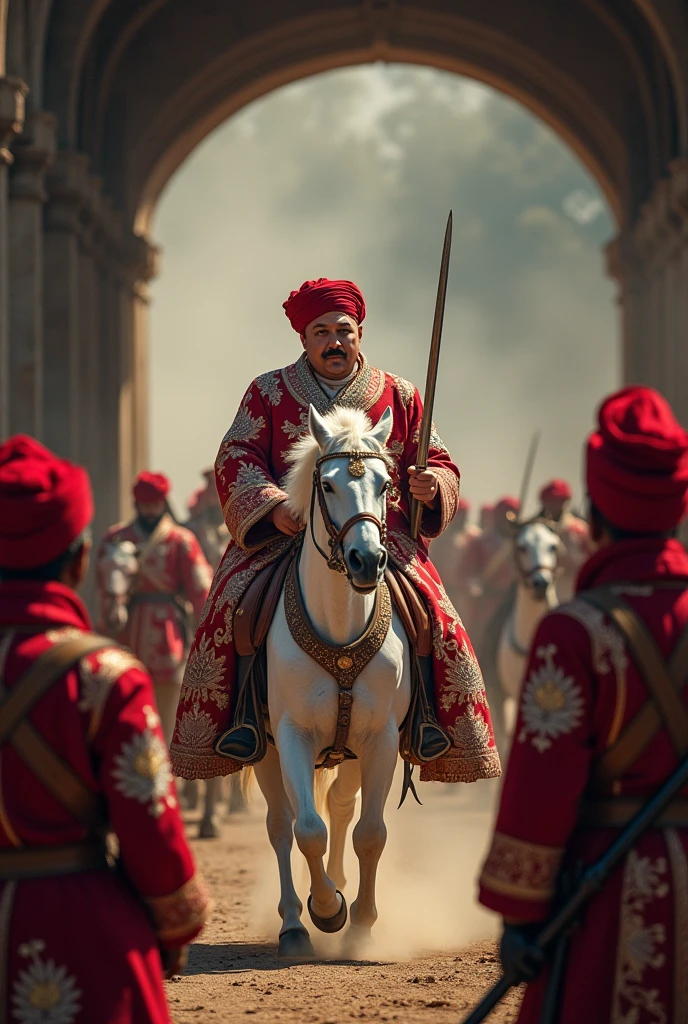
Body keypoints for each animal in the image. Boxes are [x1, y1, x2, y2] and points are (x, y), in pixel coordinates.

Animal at [254, 401, 411, 958]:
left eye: (387, 484)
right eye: (327, 484)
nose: (367, 560)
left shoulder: (380, 738)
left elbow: (371, 832)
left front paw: (361, 922)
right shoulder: (292, 737)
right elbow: (307, 830)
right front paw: (326, 910)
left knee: (343, 808)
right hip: (263, 750)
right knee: (280, 826)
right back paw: (292, 924)